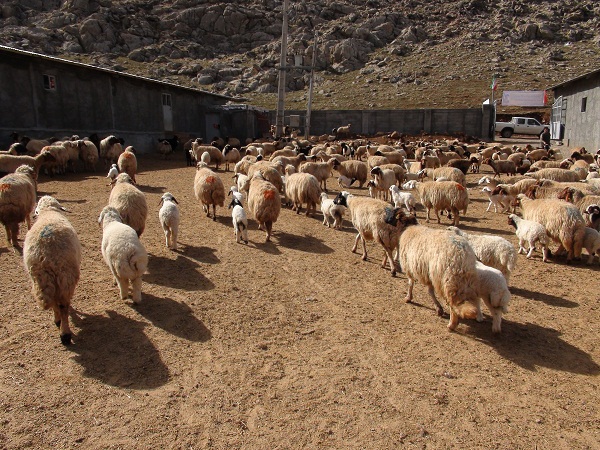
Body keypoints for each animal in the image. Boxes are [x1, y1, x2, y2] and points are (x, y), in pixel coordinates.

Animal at [23, 196, 82, 345]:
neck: (48, 212)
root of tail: (46, 254)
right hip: (62, 276)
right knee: (61, 304)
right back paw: (64, 331)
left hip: (47, 277)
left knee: (59, 303)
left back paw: (62, 329)